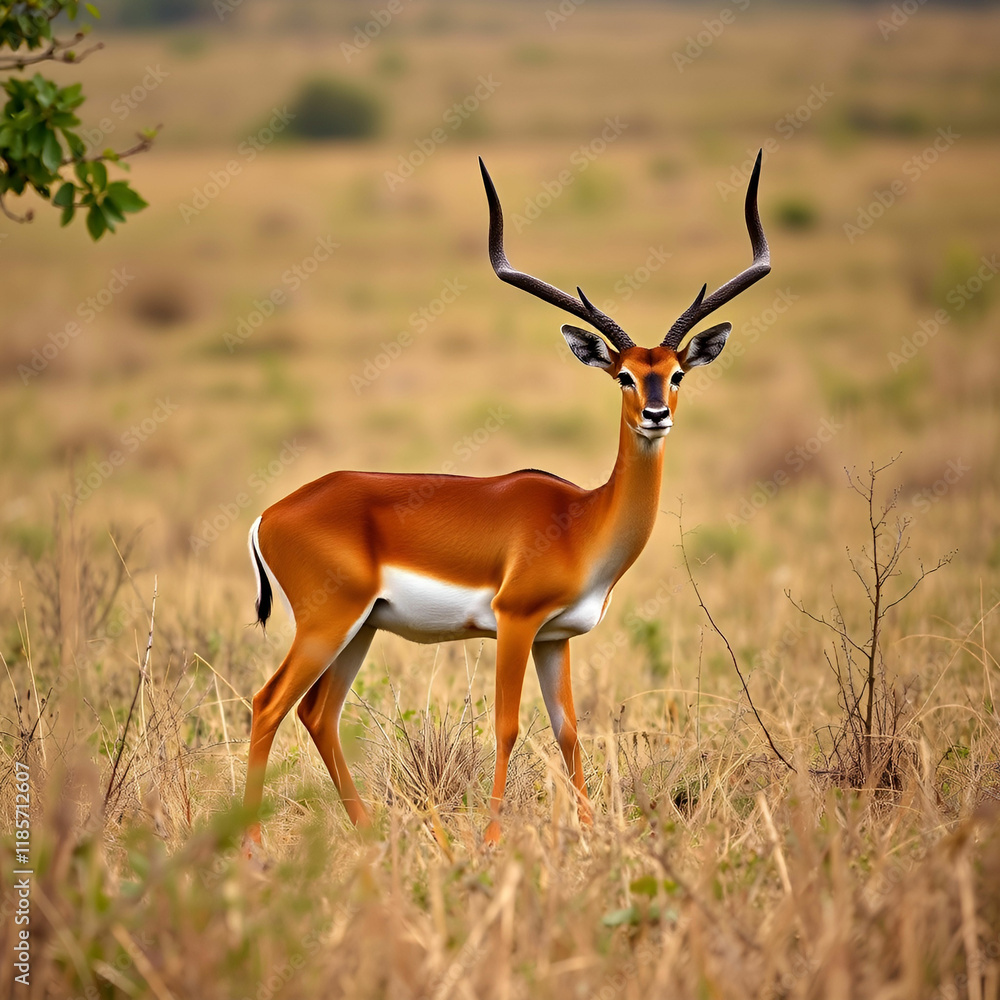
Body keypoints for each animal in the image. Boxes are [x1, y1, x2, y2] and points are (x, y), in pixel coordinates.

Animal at [242, 152, 770, 849]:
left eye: (676, 373)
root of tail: (270, 514)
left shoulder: (555, 638)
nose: (656, 415)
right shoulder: (515, 623)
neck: (581, 520)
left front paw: (590, 833)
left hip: (360, 627)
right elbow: (509, 724)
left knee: (317, 713)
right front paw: (492, 841)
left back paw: (368, 830)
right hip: (328, 623)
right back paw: (252, 846)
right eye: (625, 376)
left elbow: (569, 732)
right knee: (268, 703)